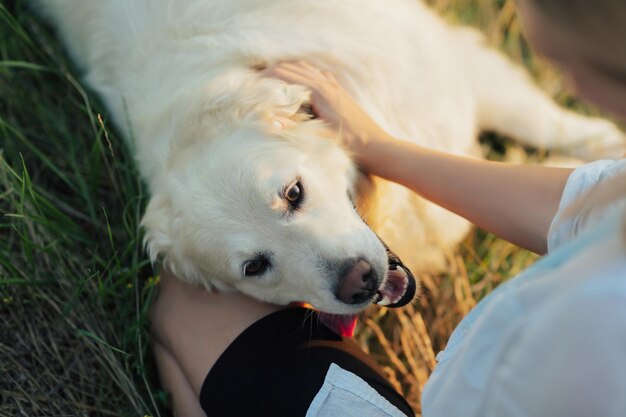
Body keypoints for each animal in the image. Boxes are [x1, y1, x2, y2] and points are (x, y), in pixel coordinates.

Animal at [36, 0, 620, 318]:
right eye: (255, 267)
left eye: (293, 193)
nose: (357, 281)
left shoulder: (447, 68)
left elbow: (549, 125)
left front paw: (601, 146)